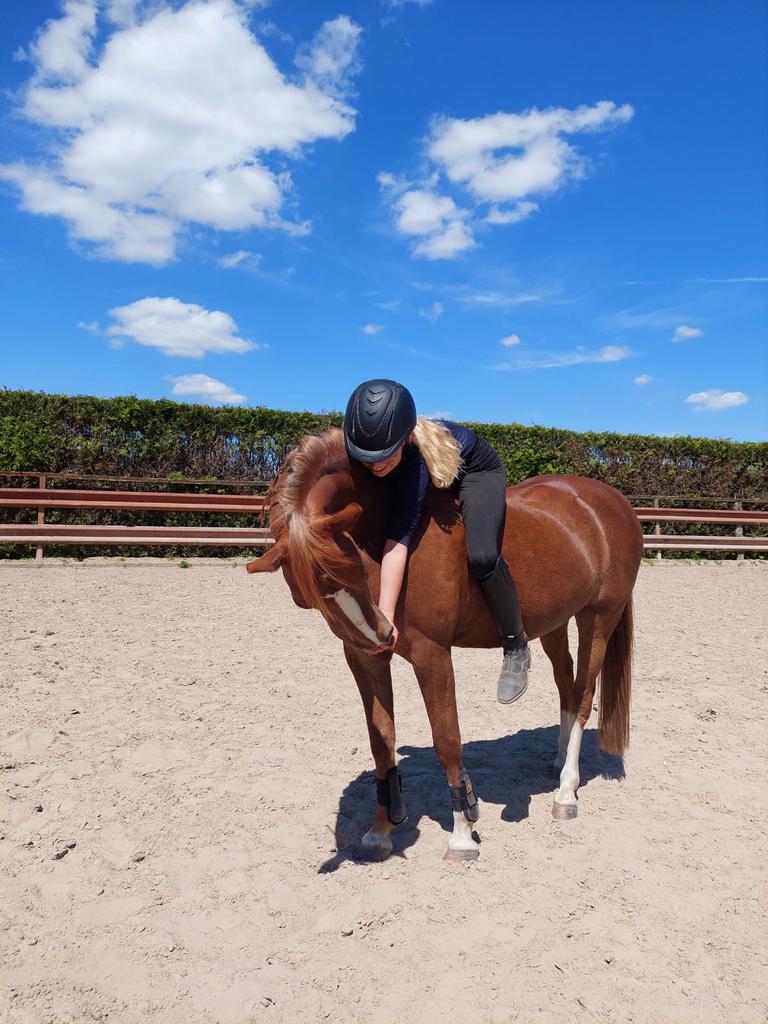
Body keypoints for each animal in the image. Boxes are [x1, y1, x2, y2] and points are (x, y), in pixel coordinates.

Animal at [247, 428, 644, 862]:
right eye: (306, 598)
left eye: (351, 569)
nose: (381, 636)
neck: (384, 519)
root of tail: (613, 501)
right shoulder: (363, 657)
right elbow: (381, 739)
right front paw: (380, 830)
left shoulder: (431, 653)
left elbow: (447, 740)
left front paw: (462, 832)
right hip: (553, 621)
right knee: (566, 688)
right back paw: (557, 763)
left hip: (598, 618)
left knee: (585, 695)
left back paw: (566, 792)